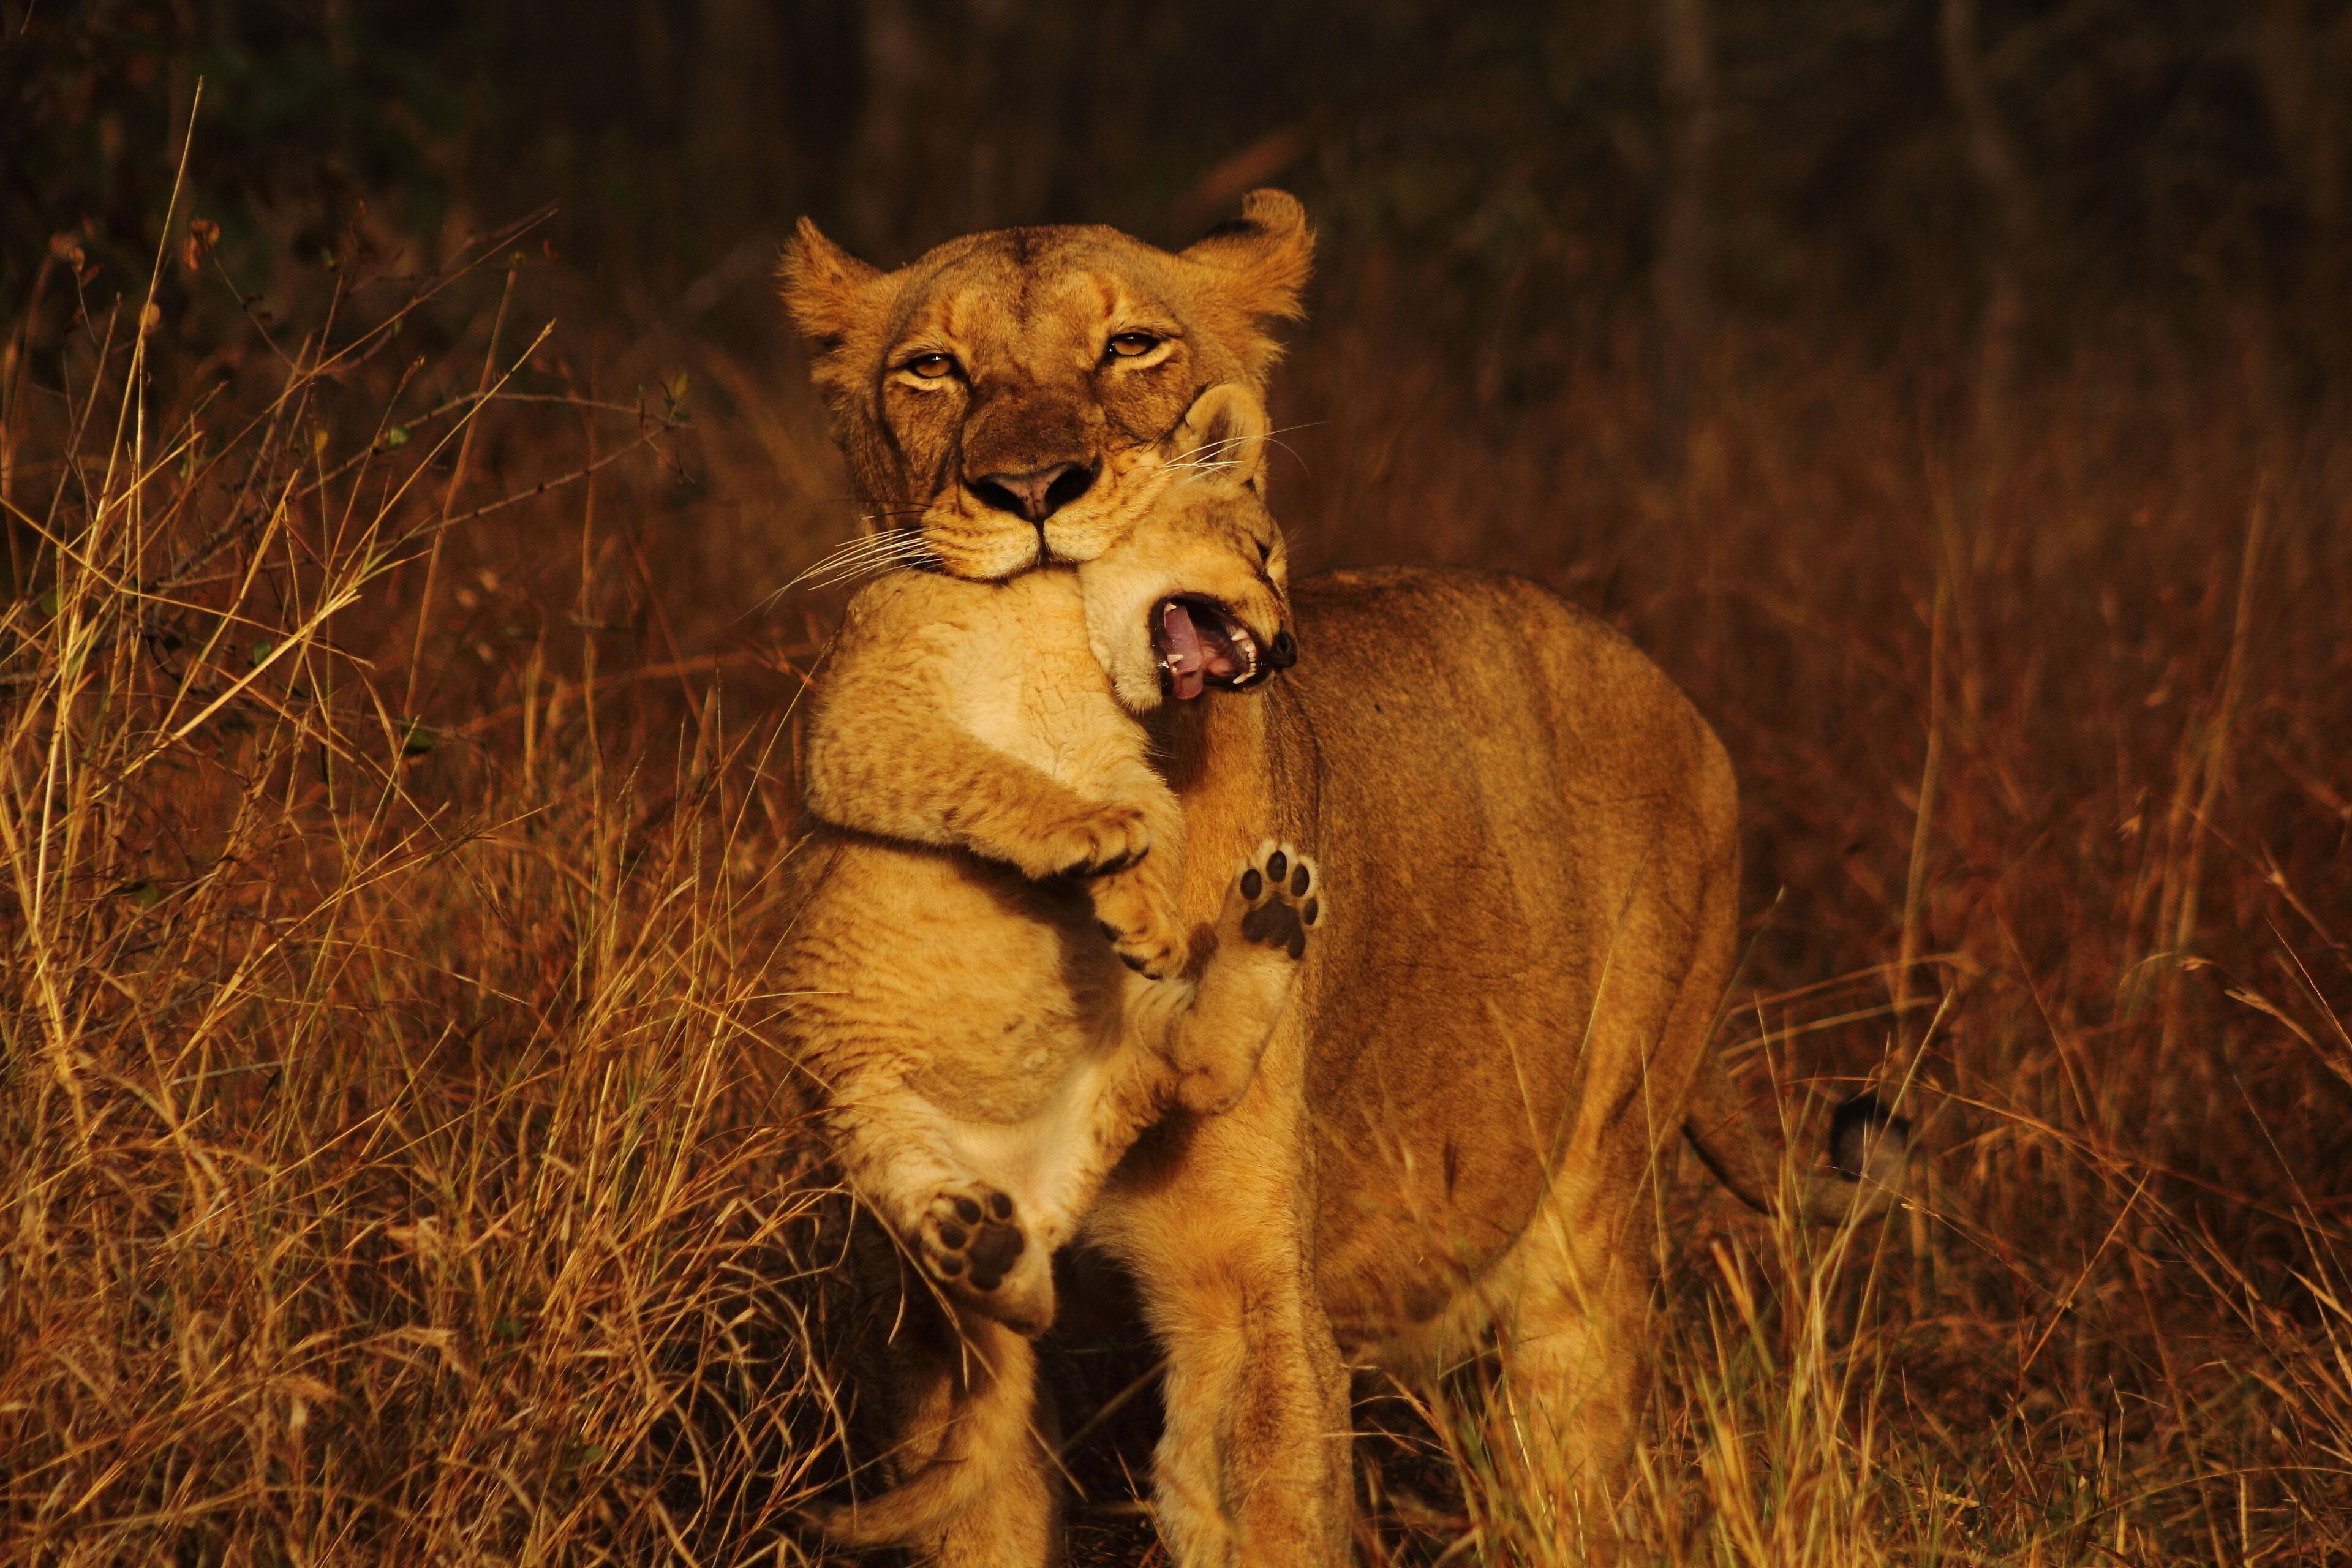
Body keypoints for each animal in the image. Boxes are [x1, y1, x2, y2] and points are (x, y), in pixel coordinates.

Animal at [778, 192, 1905, 1565]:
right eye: (932, 368)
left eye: (1132, 347)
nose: (1032, 489)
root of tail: (1680, 700)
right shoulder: (950, 1341)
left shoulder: (1246, 1282)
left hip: (1596, 1198)